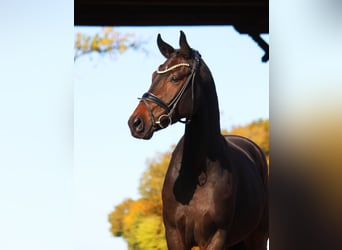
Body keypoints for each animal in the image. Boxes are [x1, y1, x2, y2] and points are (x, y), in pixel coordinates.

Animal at [127, 31, 268, 250]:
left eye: (175, 78)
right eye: (153, 76)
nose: (136, 122)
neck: (197, 172)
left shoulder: (216, 237)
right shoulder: (174, 235)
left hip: (257, 237)